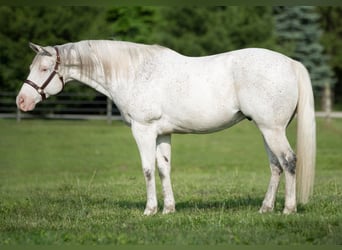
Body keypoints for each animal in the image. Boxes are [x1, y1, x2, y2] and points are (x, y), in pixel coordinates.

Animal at [16, 39, 316, 215]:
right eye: (33, 66)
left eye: (44, 69)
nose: (22, 101)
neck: (133, 72)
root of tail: (290, 63)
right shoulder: (163, 134)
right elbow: (163, 169)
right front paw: (168, 209)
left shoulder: (143, 130)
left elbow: (148, 169)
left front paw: (149, 210)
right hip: (267, 130)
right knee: (276, 166)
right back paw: (265, 209)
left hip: (272, 129)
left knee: (289, 161)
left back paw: (288, 210)